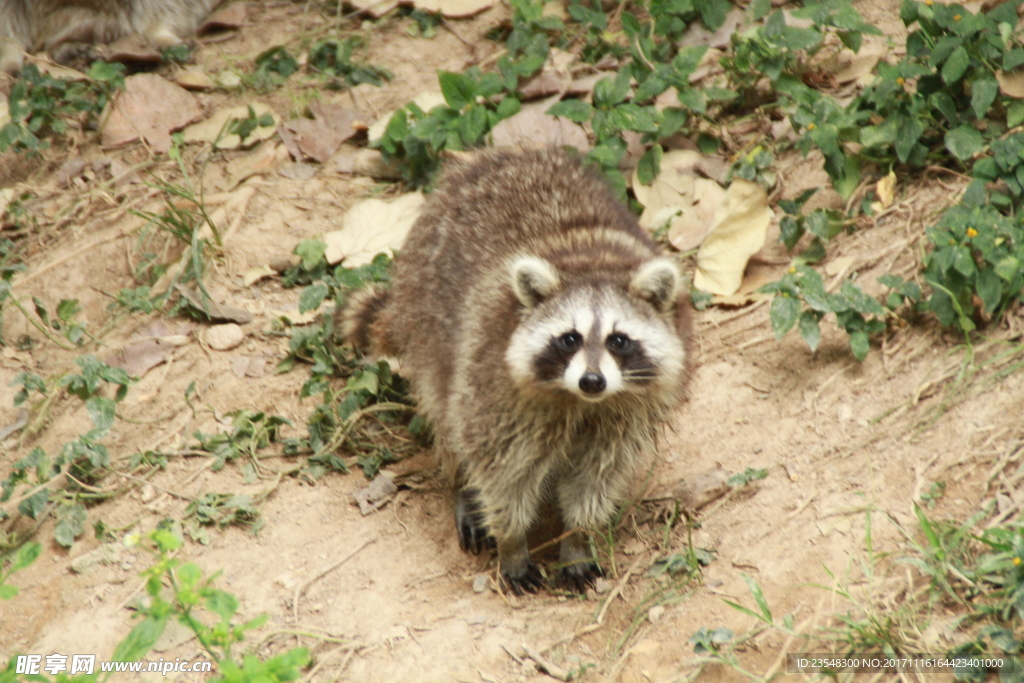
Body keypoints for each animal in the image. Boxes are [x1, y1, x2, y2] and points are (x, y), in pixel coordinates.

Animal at [339, 148, 692, 593]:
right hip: (426, 318)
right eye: (570, 339)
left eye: (618, 340)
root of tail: (490, 156)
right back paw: (462, 487)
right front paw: (512, 543)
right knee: (447, 414)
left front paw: (578, 538)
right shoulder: (494, 384)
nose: (592, 381)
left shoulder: (629, 411)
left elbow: (597, 476)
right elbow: (502, 471)